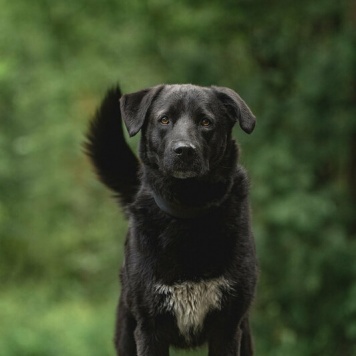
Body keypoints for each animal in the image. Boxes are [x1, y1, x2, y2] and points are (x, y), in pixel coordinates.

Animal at [86, 82, 258, 354]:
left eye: (206, 122)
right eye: (164, 119)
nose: (184, 151)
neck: (188, 211)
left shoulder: (228, 329)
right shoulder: (149, 330)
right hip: (126, 333)